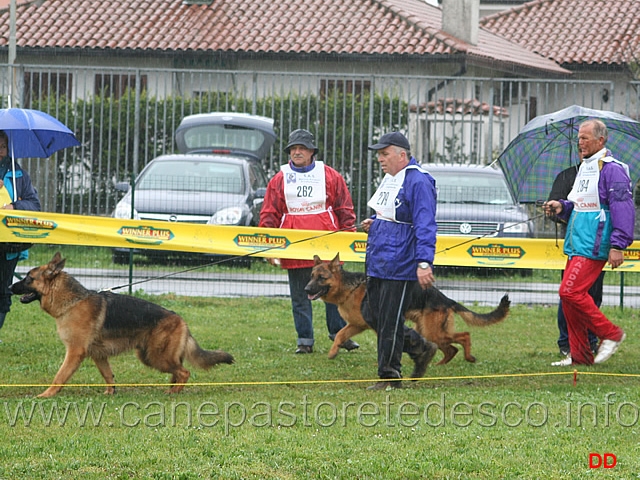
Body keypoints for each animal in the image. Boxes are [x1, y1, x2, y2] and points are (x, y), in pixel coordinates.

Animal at [9, 251, 235, 398]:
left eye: (29, 278)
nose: (10, 287)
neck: (73, 302)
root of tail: (180, 319)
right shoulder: (98, 355)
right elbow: (108, 375)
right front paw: (111, 392)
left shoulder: (74, 352)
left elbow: (60, 375)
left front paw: (47, 394)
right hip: (152, 356)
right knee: (177, 372)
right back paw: (172, 388)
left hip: (156, 357)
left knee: (184, 372)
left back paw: (174, 393)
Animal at [304, 255, 510, 364]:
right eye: (311, 276)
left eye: (321, 278)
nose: (306, 289)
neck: (349, 288)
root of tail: (445, 298)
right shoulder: (356, 325)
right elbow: (339, 335)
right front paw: (333, 352)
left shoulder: (372, 325)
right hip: (429, 331)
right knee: (451, 349)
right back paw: (439, 364)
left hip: (432, 331)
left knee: (464, 336)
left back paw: (468, 357)